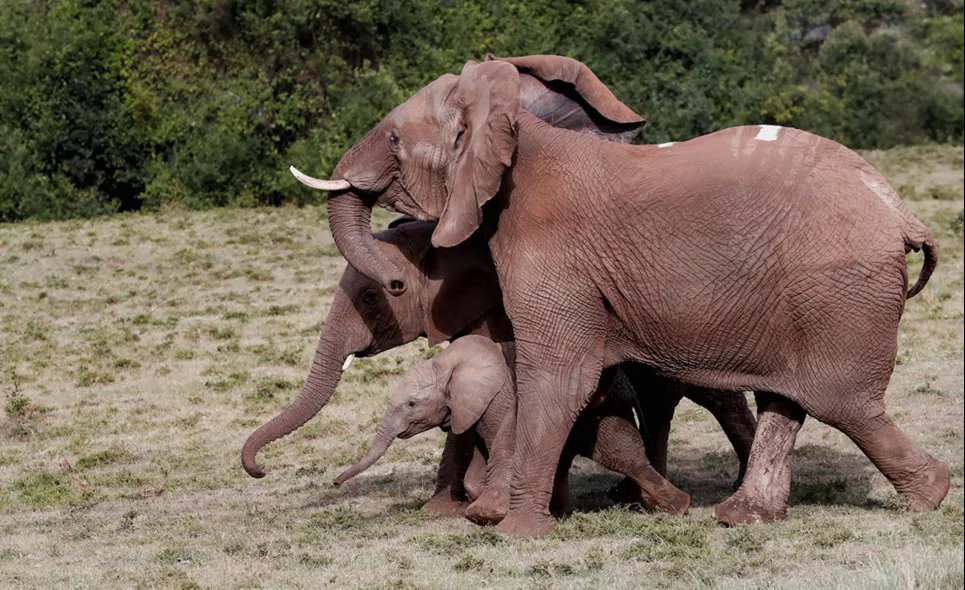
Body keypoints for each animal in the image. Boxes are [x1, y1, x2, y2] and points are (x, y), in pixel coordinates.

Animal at [336, 336, 688, 524]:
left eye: (411, 404)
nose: (335, 483)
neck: (449, 362)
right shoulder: (471, 413)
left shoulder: (497, 402)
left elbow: (499, 451)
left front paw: (485, 514)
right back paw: (559, 513)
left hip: (602, 411)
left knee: (621, 453)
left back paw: (677, 507)